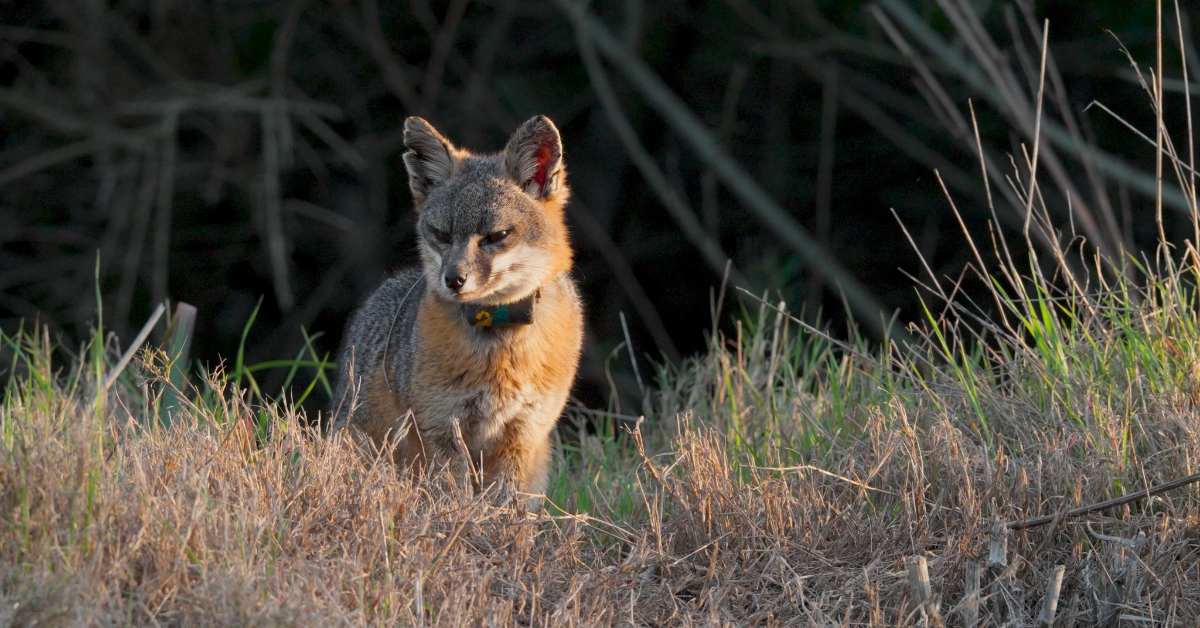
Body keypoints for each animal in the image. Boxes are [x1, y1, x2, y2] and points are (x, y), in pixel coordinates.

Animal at [332, 115, 584, 504]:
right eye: (441, 234)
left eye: (497, 236)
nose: (454, 279)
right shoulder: (443, 427)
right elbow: (453, 501)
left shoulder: (524, 434)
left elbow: (507, 506)